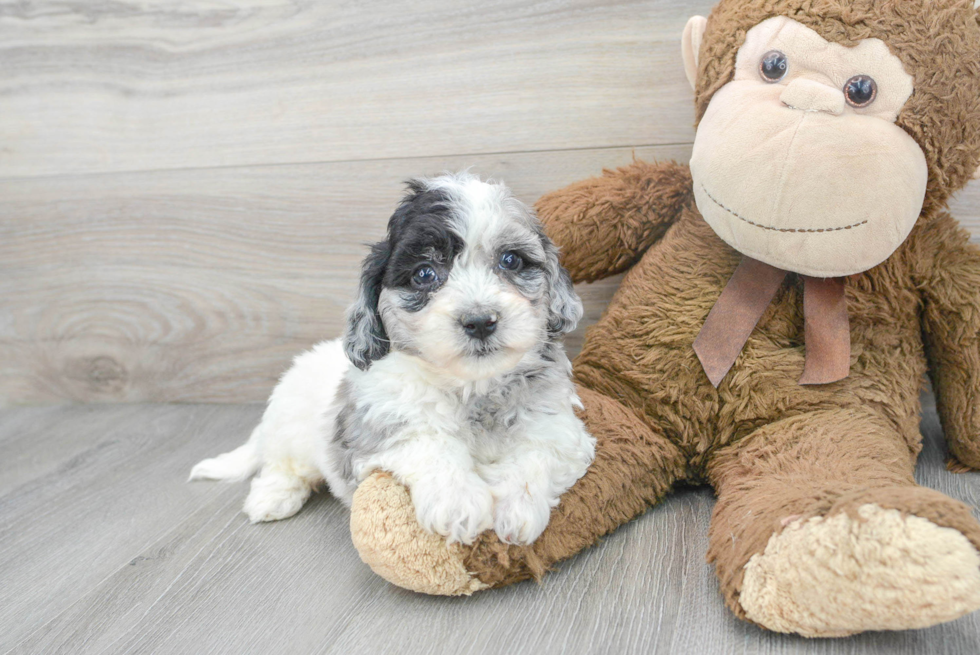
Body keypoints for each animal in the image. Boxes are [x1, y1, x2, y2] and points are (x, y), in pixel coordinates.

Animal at [189, 172, 592, 544]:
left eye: (511, 260)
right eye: (424, 274)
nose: (479, 321)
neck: (472, 388)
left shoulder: (559, 427)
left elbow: (538, 452)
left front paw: (516, 508)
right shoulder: (377, 427)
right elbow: (428, 442)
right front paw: (458, 501)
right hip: (290, 428)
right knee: (281, 466)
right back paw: (272, 498)